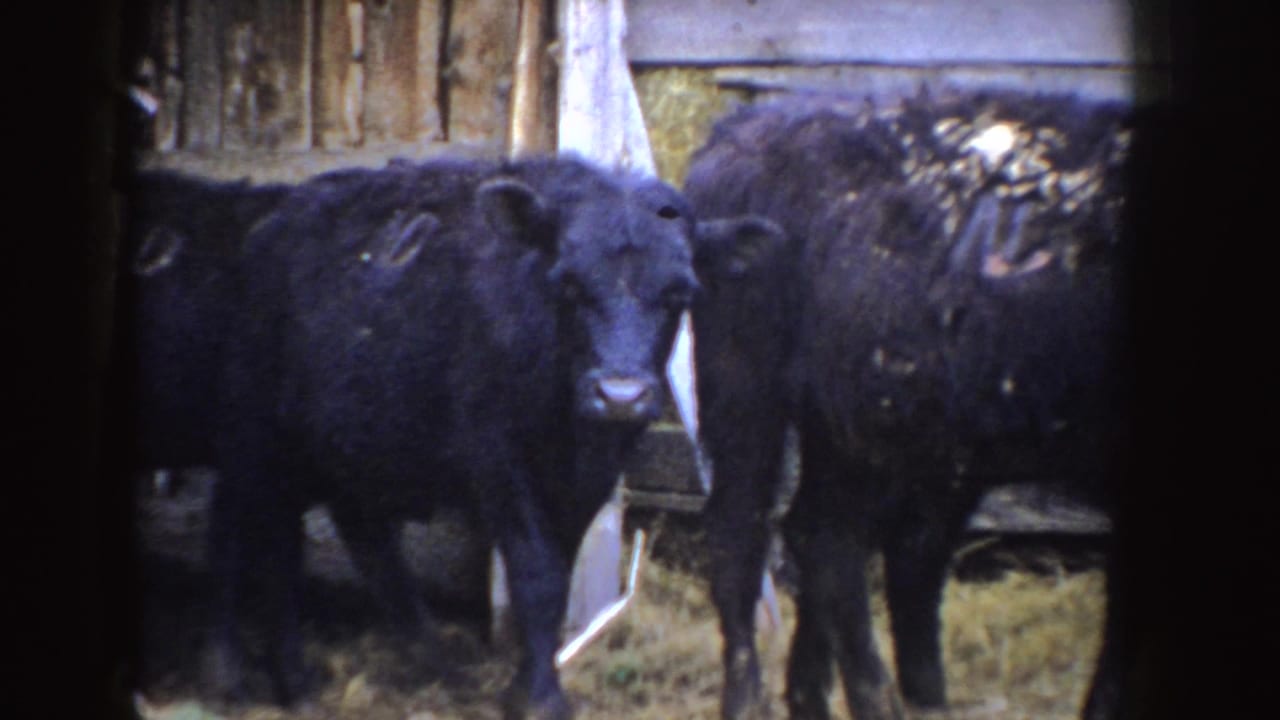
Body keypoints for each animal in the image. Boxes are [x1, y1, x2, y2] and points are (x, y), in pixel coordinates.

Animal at [204, 154, 753, 719]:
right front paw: (539, 697)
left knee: (353, 538)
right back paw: (247, 674)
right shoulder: (500, 463)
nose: (620, 395)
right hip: (254, 432)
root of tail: (274, 221)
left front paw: (529, 683)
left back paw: (421, 658)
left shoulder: (588, 479)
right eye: (569, 284)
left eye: (679, 293)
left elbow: (558, 574)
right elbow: (536, 574)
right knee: (245, 531)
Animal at [684, 91, 1135, 719]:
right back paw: (766, 701)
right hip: (746, 394)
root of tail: (738, 128)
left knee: (845, 541)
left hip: (869, 429)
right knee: (745, 535)